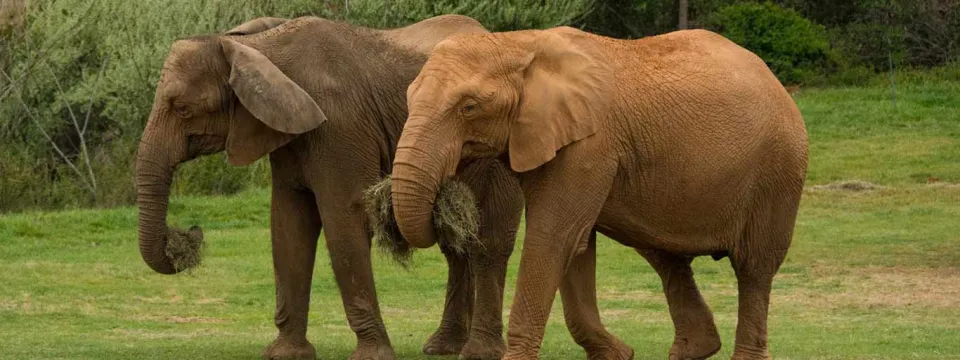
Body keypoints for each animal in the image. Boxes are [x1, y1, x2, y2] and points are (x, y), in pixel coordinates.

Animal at [133, 14, 524, 360]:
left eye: (181, 109)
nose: (190, 232)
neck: (258, 47)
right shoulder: (289, 133)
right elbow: (288, 227)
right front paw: (285, 354)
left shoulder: (340, 128)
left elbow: (344, 221)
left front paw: (371, 355)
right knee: (457, 245)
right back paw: (443, 347)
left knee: (489, 244)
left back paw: (479, 351)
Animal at [390, 26, 808, 358]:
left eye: (469, 107)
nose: (445, 207)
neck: (519, 44)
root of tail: (775, 80)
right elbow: (575, 245)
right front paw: (618, 354)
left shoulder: (589, 145)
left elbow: (553, 237)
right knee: (663, 254)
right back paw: (695, 350)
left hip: (778, 172)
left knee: (754, 267)